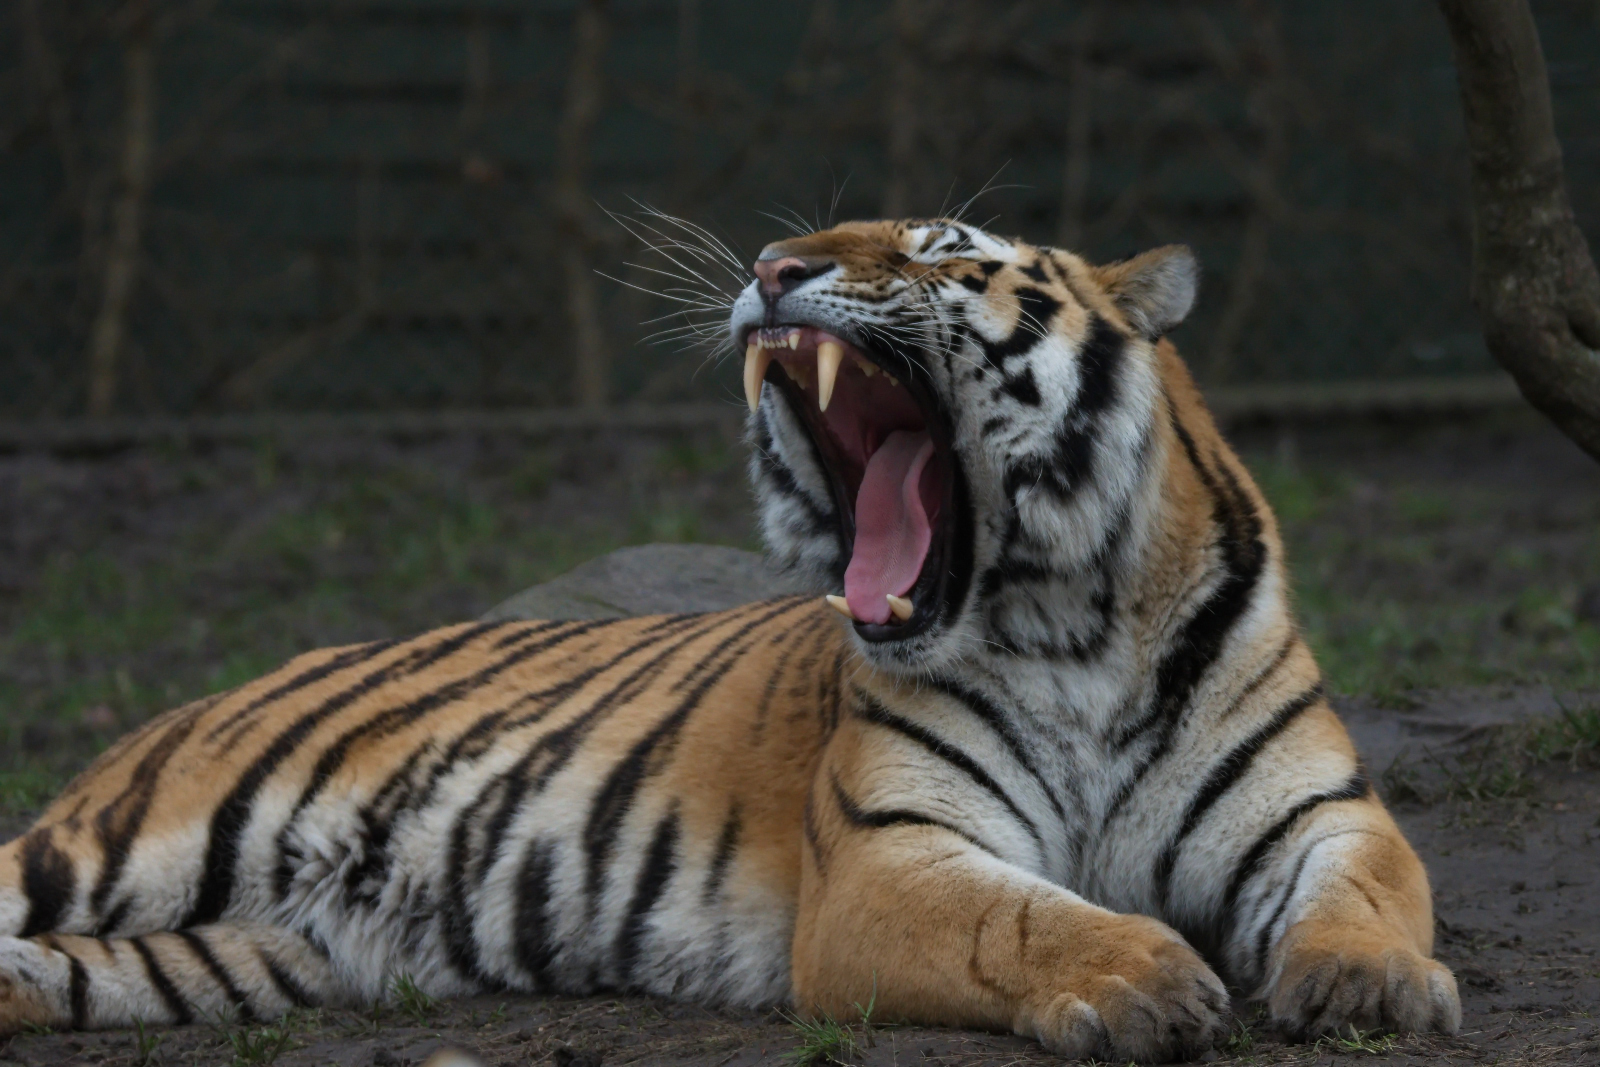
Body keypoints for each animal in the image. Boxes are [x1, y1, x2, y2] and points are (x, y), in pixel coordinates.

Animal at [0, 220, 1465, 1062]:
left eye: (939, 247)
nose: (770, 269)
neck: (1075, 622)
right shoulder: (889, 858)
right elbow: (1021, 916)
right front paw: (1145, 975)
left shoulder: (1321, 812)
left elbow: (1365, 893)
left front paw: (1372, 981)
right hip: (114, 849)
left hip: (235, 954)